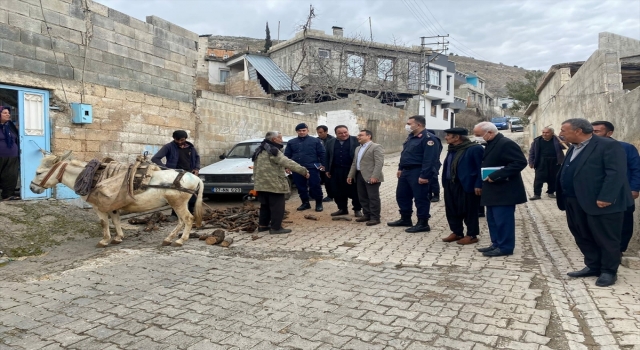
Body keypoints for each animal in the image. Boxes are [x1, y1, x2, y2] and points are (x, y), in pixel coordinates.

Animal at [28, 152, 204, 247]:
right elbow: (116, 220)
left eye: (38, 172)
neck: (93, 178)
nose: (32, 189)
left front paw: (105, 240)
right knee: (181, 221)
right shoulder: (112, 205)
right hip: (175, 203)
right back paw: (169, 239)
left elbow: (104, 223)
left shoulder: (99, 207)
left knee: (188, 219)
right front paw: (118, 237)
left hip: (178, 203)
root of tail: (194, 177)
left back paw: (181, 240)